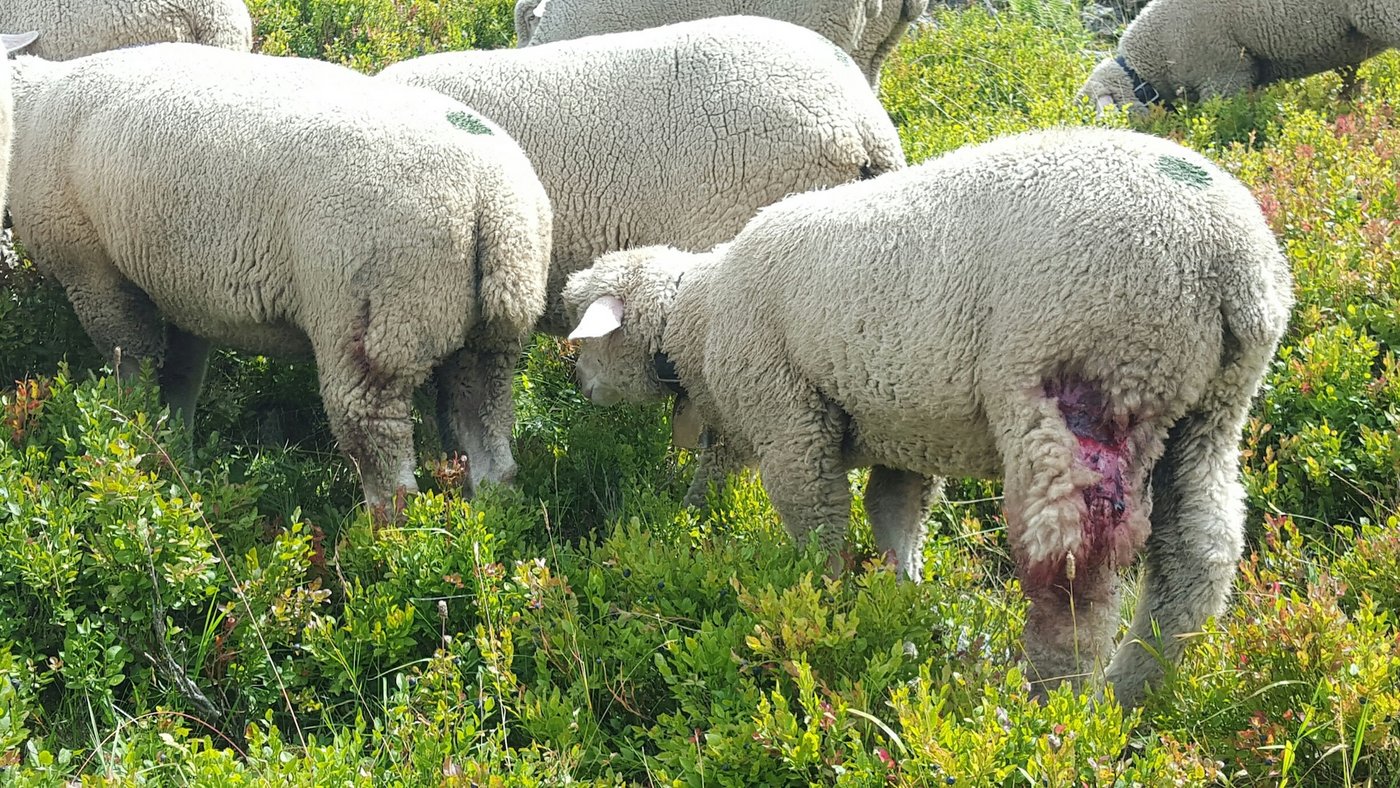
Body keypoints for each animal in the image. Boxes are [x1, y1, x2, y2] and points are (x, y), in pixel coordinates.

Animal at [6, 43, 553, 509]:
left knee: (382, 457)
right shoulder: (183, 290)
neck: (30, 107)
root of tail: (494, 197)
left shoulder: (92, 271)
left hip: (369, 318)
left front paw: (131, 443)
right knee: (488, 436)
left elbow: (132, 369)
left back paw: (378, 544)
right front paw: (174, 451)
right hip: (491, 330)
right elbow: (182, 377)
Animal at [561, 127, 1294, 708]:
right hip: (1206, 410)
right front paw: (901, 600)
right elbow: (892, 514)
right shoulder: (904, 430)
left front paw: (820, 605)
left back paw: (1051, 707)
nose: (581, 388)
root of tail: (1231, 263)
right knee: (1201, 552)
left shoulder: (790, 417)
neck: (698, 314)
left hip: (1087, 378)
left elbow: (816, 521)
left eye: (585, 339)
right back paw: (1136, 691)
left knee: (1073, 573)